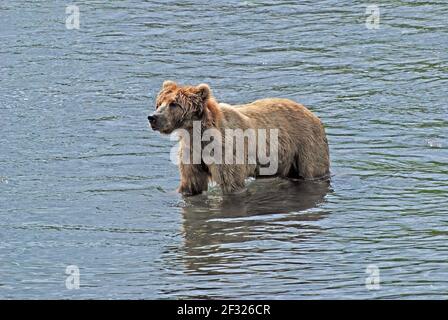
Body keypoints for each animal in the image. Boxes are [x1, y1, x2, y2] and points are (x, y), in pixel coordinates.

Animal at [147, 80, 328, 195]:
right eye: (159, 103)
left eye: (174, 104)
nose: (152, 117)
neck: (197, 134)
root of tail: (311, 113)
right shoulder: (192, 152)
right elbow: (191, 183)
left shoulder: (226, 151)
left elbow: (231, 182)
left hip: (306, 143)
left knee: (313, 170)